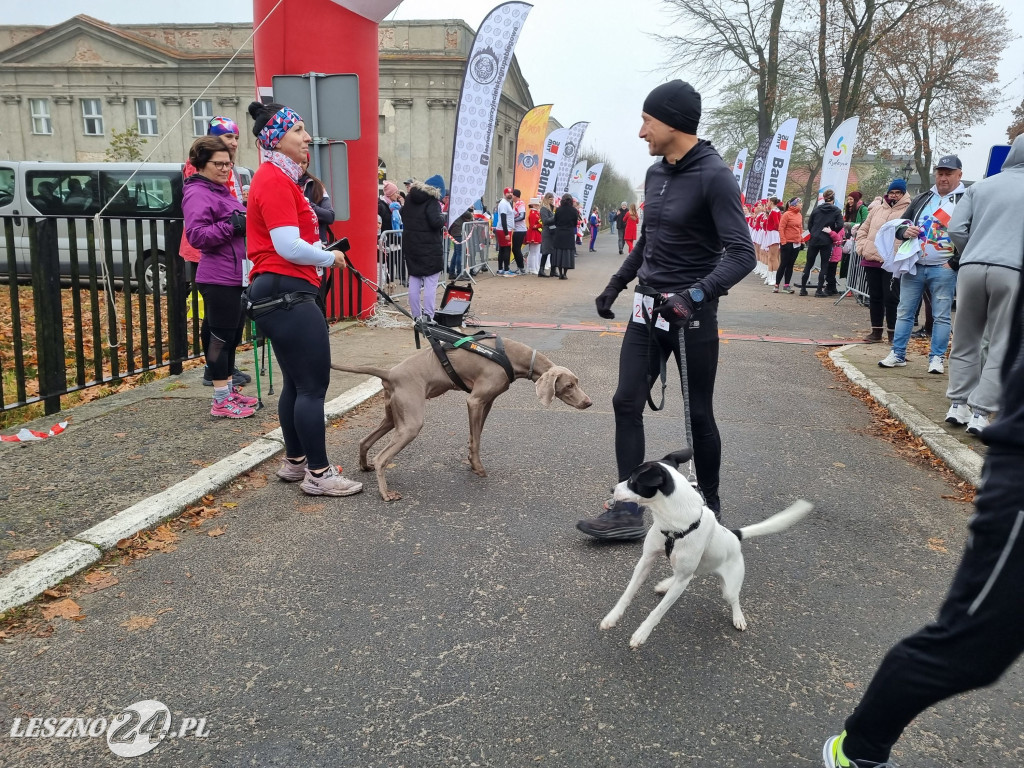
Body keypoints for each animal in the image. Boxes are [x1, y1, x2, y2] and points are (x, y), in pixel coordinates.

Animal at [333, 339, 593, 501]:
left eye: (577, 382)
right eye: (569, 385)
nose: (589, 403)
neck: (511, 356)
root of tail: (390, 372)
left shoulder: (486, 402)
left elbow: (475, 435)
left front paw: (471, 461)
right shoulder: (475, 401)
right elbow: (476, 438)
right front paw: (478, 467)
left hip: (393, 417)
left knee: (365, 441)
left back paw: (364, 466)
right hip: (411, 424)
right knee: (382, 457)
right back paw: (386, 494)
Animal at [598, 448, 811, 651]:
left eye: (633, 480)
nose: (612, 488)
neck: (674, 524)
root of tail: (735, 536)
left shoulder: (681, 580)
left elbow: (658, 611)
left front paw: (641, 634)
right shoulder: (646, 560)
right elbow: (627, 593)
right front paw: (612, 617)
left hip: (729, 586)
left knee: (733, 599)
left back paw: (738, 617)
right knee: (690, 576)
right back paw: (665, 584)